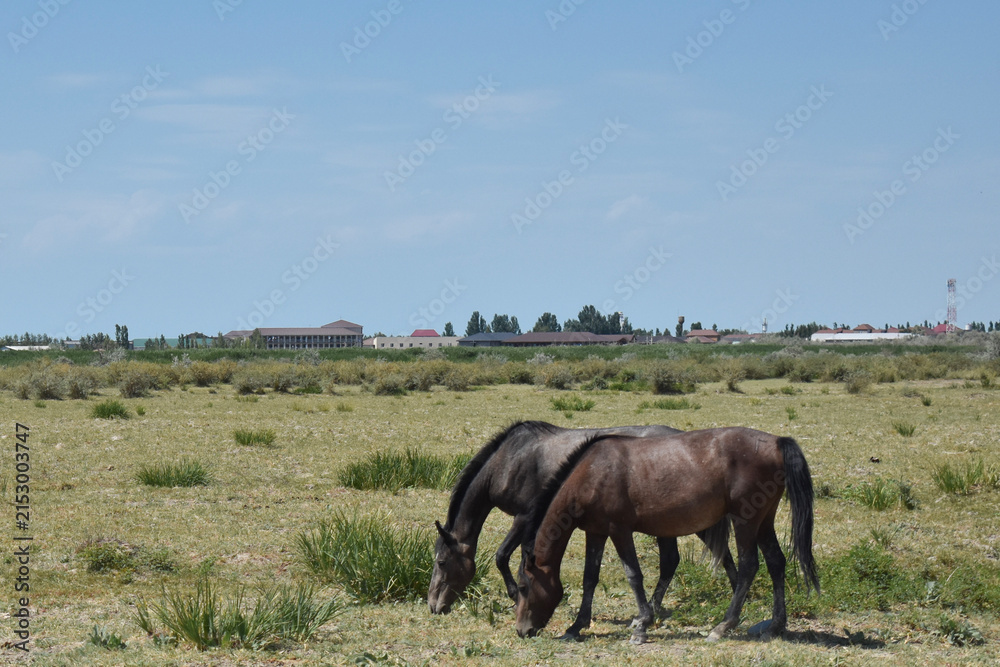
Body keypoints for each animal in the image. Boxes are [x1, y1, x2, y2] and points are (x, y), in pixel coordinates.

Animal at [428, 420, 737, 638]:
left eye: (441, 562)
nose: (433, 606)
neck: (510, 459)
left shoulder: (523, 517)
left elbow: (502, 556)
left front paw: (515, 595)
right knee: (675, 560)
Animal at [515, 427, 819, 644]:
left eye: (523, 587)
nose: (521, 630)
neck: (592, 473)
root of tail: (776, 441)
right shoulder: (596, 532)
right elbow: (590, 578)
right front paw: (576, 626)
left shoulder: (619, 530)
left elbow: (633, 576)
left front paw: (642, 625)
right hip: (764, 521)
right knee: (776, 562)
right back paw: (776, 626)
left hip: (745, 520)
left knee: (749, 566)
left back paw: (723, 626)